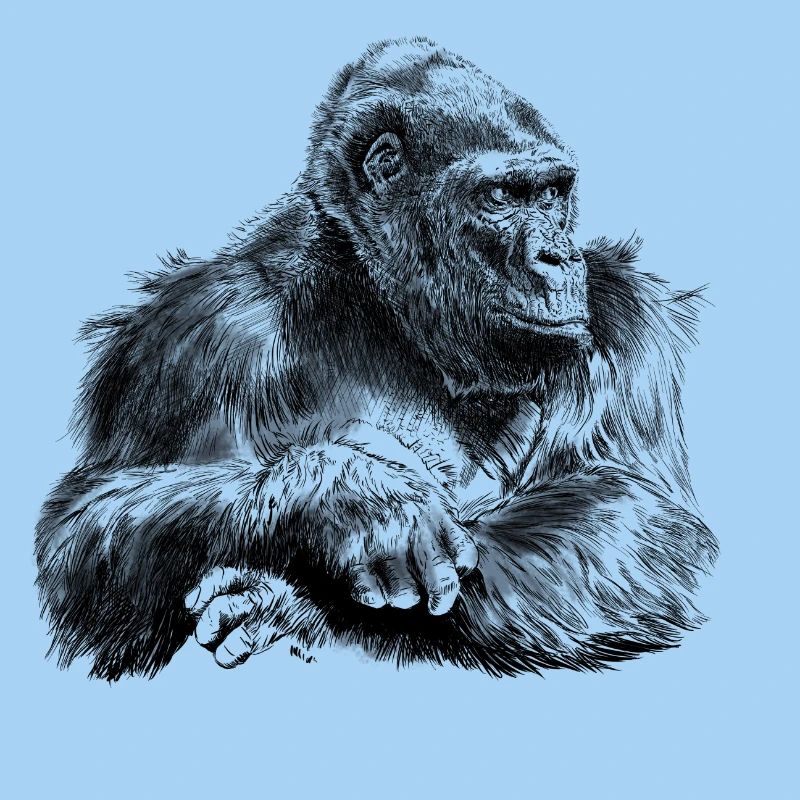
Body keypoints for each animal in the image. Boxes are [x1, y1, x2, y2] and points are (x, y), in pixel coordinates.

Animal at [36, 37, 717, 680]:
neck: (382, 303)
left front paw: (298, 605)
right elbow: (85, 534)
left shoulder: (626, 318)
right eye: (502, 196)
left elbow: (643, 520)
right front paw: (351, 500)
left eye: (552, 194)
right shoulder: (195, 332)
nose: (559, 256)